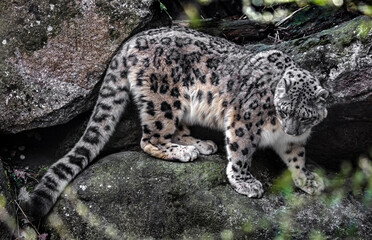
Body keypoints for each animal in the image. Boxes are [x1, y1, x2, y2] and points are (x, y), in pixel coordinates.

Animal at [20, 25, 328, 219]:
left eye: (304, 116)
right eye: (284, 110)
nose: (290, 128)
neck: (280, 129)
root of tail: (131, 41)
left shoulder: (293, 141)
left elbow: (296, 157)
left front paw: (307, 180)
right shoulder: (244, 122)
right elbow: (241, 153)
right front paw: (245, 182)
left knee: (175, 129)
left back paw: (200, 144)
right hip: (163, 100)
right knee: (150, 138)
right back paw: (184, 152)